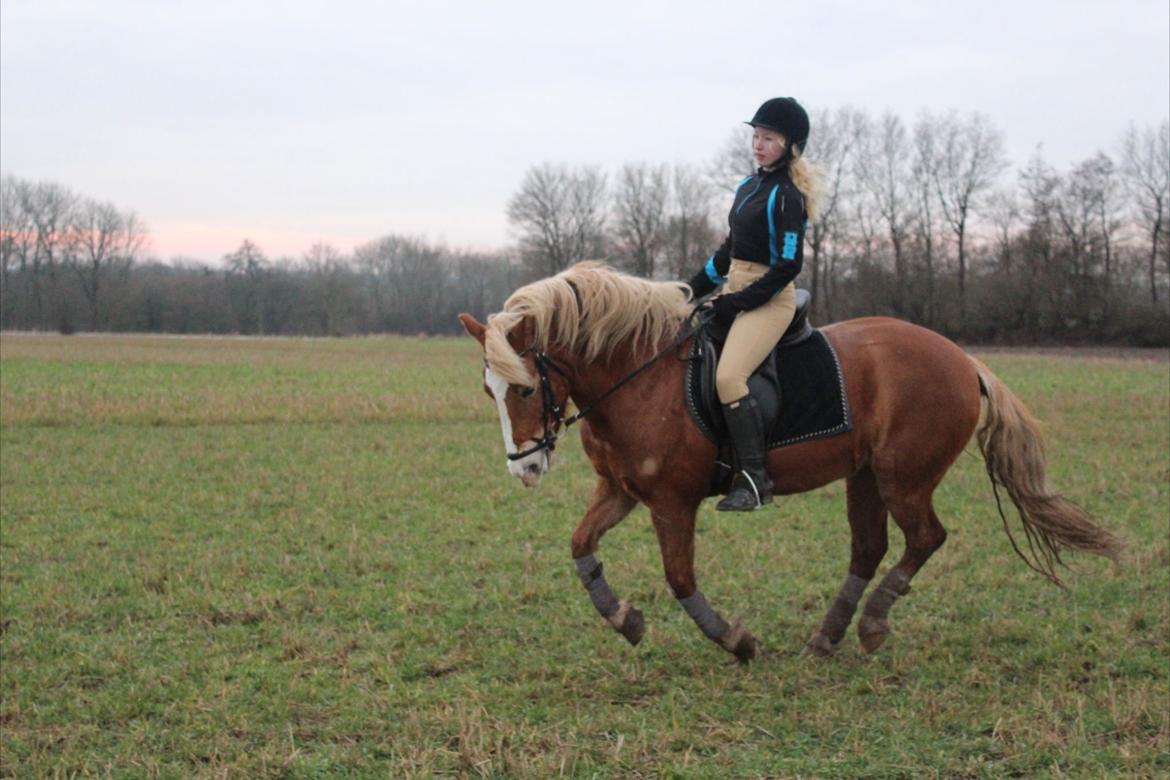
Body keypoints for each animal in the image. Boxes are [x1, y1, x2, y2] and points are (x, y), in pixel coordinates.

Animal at [458, 262, 1122, 662]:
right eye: (489, 391)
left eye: (523, 389)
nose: (524, 469)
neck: (637, 375)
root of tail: (962, 359)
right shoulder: (619, 490)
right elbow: (580, 547)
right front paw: (624, 618)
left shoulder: (672, 502)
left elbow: (680, 578)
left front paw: (736, 641)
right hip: (866, 475)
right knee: (869, 548)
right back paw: (827, 637)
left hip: (904, 477)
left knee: (925, 537)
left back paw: (871, 625)